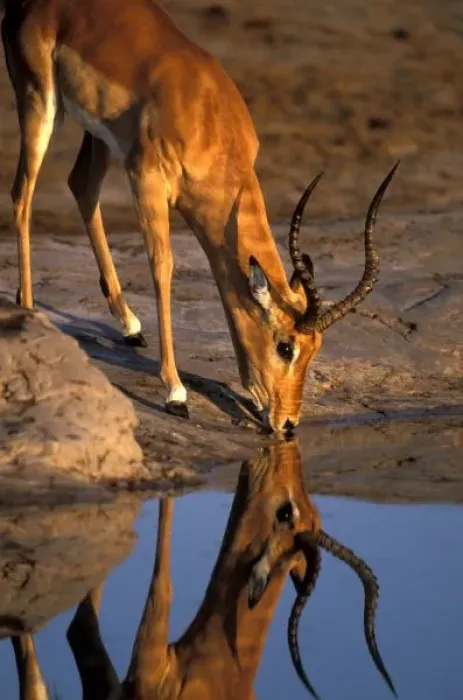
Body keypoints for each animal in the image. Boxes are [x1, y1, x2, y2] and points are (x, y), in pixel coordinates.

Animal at [1, 0, 399, 431]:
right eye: (285, 346)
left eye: (317, 348)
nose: (288, 424)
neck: (208, 118)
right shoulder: (147, 180)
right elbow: (163, 268)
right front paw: (176, 393)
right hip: (39, 103)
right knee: (22, 194)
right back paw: (28, 312)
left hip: (101, 136)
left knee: (81, 187)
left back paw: (129, 326)